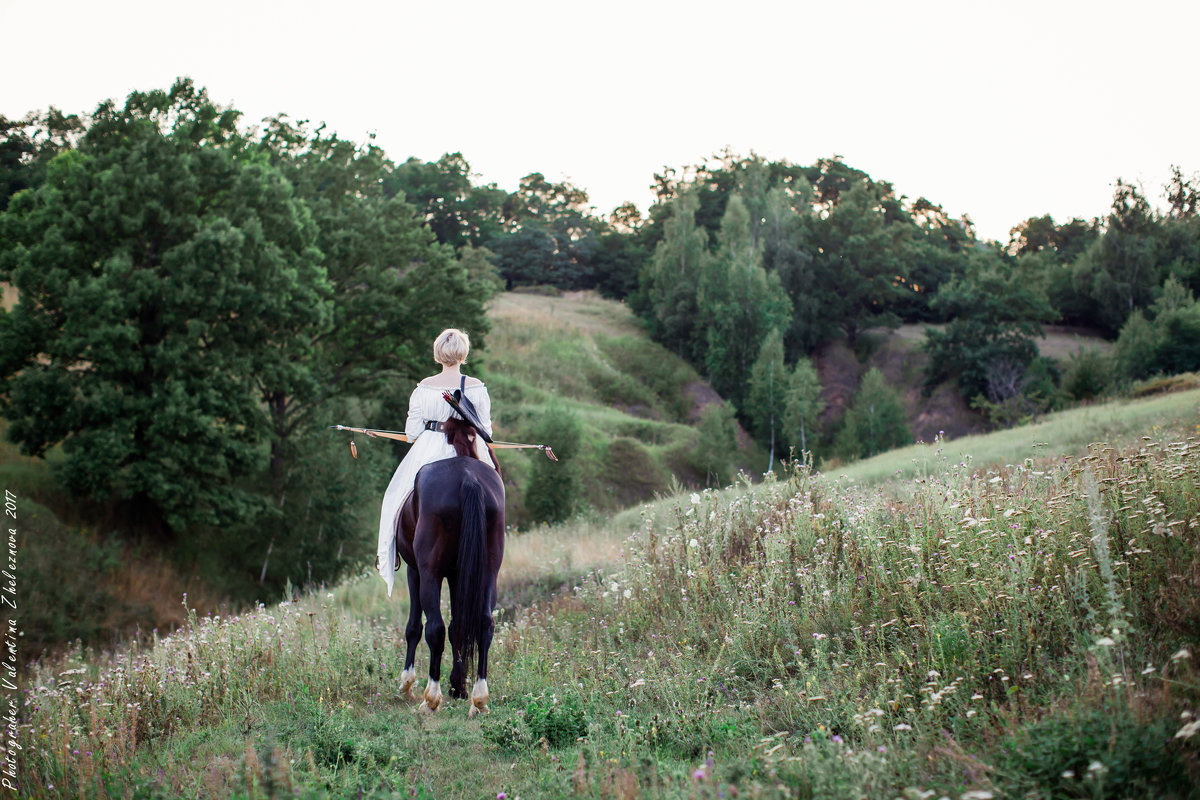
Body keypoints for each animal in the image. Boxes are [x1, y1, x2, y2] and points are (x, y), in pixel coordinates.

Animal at [396, 419, 504, 714]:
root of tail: (468, 478)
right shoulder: (458, 575)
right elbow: (459, 627)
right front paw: (459, 686)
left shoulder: (414, 571)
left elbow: (414, 626)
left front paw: (407, 683)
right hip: (488, 570)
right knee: (484, 623)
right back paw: (479, 697)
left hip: (429, 573)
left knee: (435, 628)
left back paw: (431, 697)